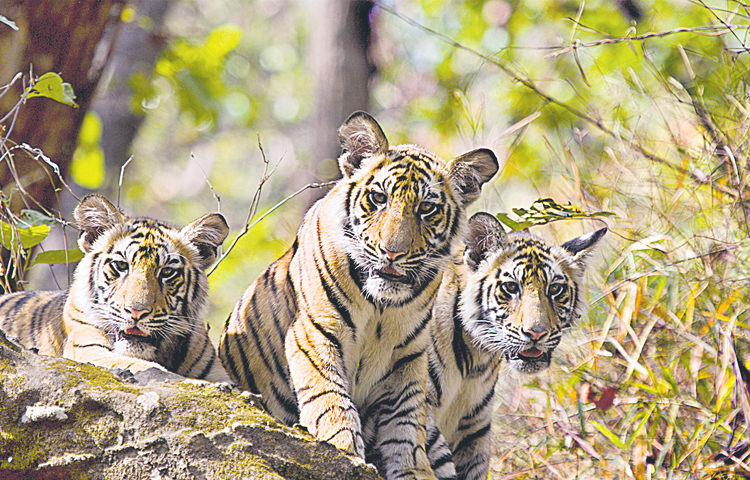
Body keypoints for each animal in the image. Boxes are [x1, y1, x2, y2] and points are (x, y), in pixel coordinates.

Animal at [219, 111, 498, 480]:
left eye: (427, 208)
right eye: (379, 199)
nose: (392, 253)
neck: (381, 308)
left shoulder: (409, 356)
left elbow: (407, 422)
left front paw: (412, 468)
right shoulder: (314, 331)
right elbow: (328, 394)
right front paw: (342, 448)